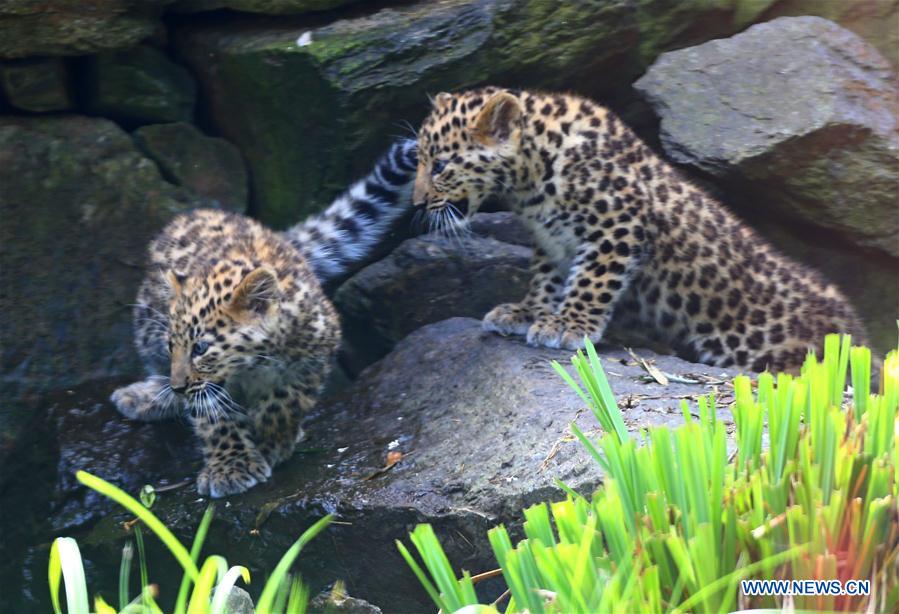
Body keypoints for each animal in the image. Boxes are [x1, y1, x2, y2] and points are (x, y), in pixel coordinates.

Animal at [111, 139, 418, 497]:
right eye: (173, 346)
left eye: (200, 348)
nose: (179, 386)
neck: (254, 365)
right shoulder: (206, 388)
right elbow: (215, 420)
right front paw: (231, 469)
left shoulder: (315, 355)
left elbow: (285, 401)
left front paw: (274, 439)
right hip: (146, 323)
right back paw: (147, 396)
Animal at [412, 87, 869, 372]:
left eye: (440, 165)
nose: (416, 203)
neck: (529, 184)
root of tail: (858, 331)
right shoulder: (551, 239)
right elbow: (546, 278)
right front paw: (528, 312)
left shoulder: (618, 222)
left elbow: (592, 279)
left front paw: (568, 325)